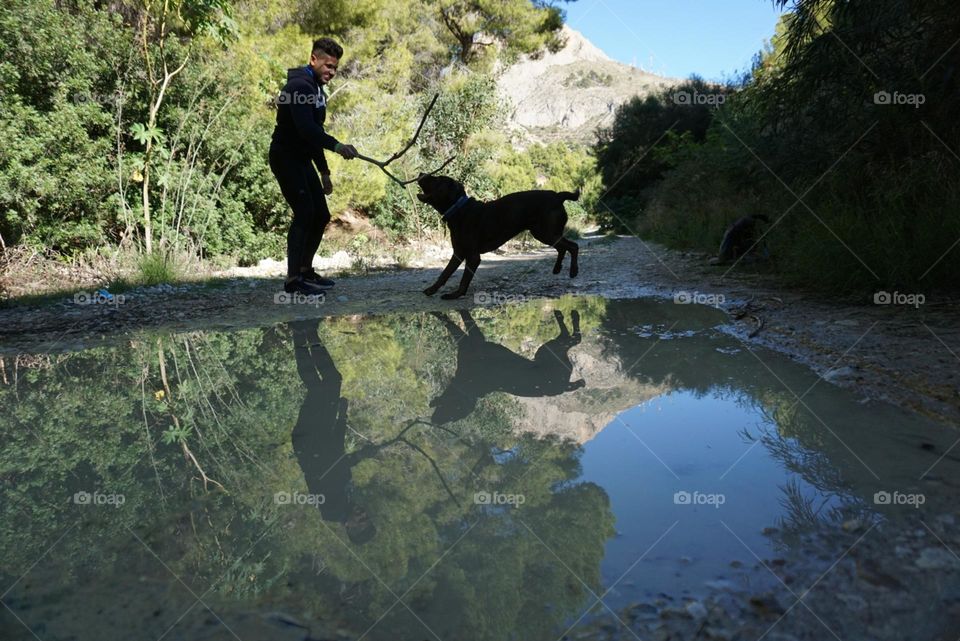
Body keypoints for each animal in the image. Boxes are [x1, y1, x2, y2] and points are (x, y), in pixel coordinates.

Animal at [414, 175, 576, 300]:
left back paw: (573, 271)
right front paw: (432, 290)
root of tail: (558, 196)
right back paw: (557, 268)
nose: (421, 173)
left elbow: (464, 279)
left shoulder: (473, 257)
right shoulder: (458, 253)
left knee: (573, 246)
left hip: (546, 233)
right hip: (544, 233)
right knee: (562, 248)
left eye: (437, 179)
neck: (459, 209)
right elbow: (445, 273)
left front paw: (456, 294)